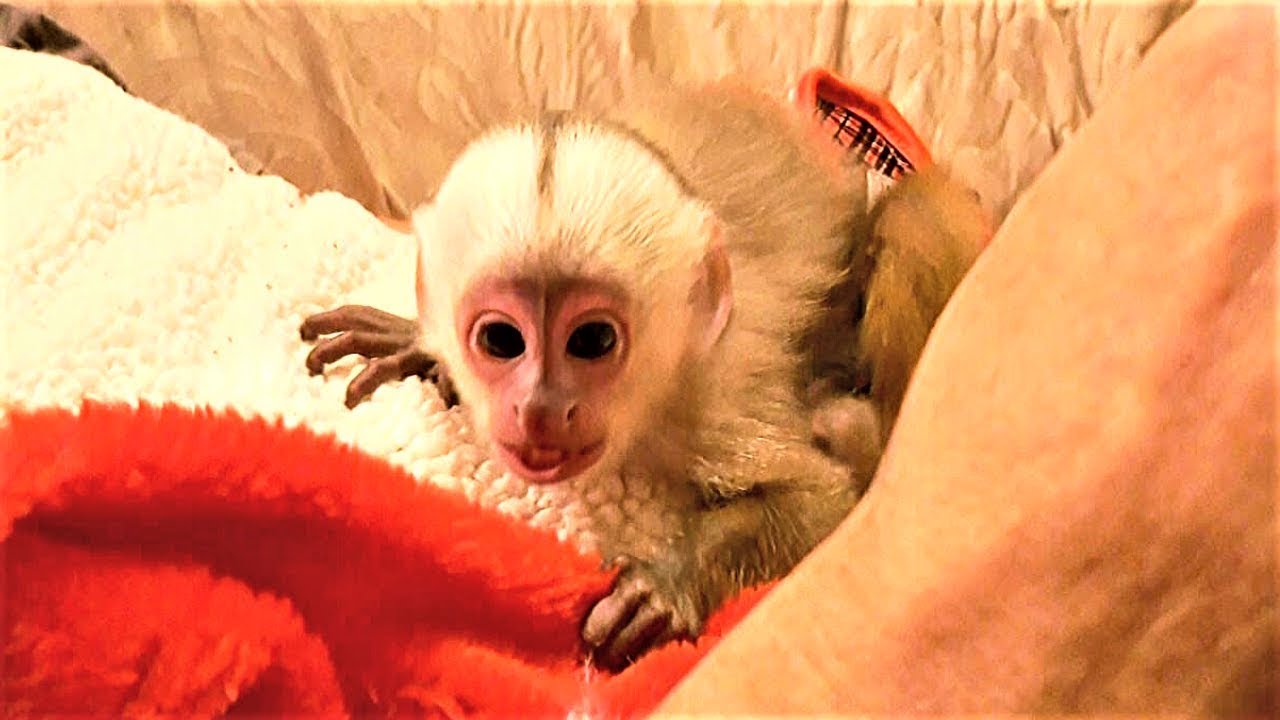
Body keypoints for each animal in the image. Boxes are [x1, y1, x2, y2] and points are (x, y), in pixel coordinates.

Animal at [299, 80, 988, 671]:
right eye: (501, 340)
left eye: (593, 341)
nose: (540, 408)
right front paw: (415, 344)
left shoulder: (714, 393)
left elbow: (821, 498)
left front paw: (667, 583)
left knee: (912, 218)